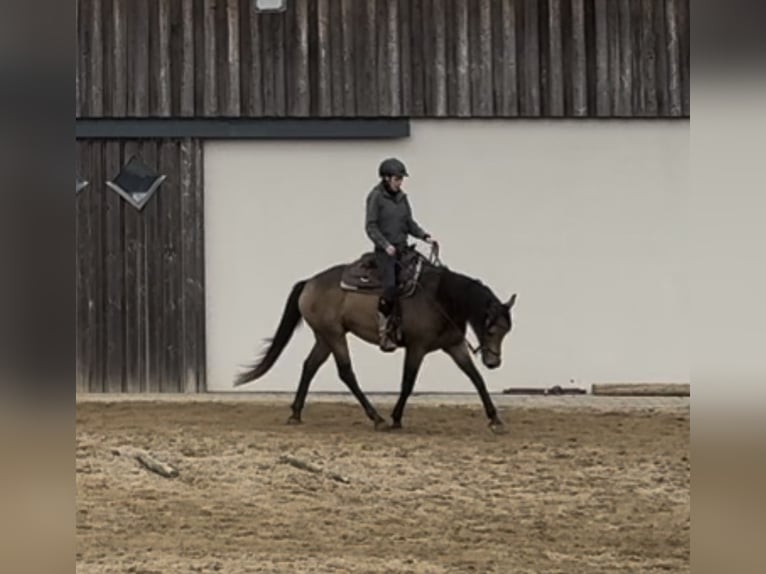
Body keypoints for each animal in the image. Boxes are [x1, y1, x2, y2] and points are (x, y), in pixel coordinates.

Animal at [234, 245, 520, 434]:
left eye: (506, 331)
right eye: (491, 329)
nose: (494, 362)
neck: (440, 298)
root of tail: (309, 283)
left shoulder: (454, 345)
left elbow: (476, 379)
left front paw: (495, 419)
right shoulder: (416, 348)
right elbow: (408, 383)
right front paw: (396, 418)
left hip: (324, 337)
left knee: (309, 366)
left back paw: (295, 413)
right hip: (334, 335)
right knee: (346, 372)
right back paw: (377, 418)